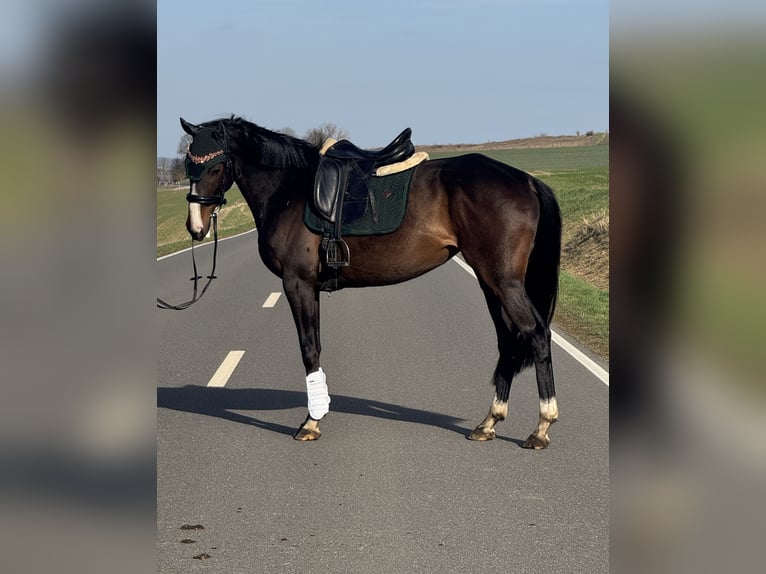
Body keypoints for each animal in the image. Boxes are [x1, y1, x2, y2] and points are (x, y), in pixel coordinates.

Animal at [179, 116, 562, 448]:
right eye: (188, 165)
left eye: (214, 166)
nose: (195, 227)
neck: (289, 190)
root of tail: (526, 180)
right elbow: (313, 346)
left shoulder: (298, 283)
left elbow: (309, 349)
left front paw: (312, 421)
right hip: (489, 281)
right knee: (509, 341)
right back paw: (489, 422)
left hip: (502, 280)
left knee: (536, 334)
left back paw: (541, 427)